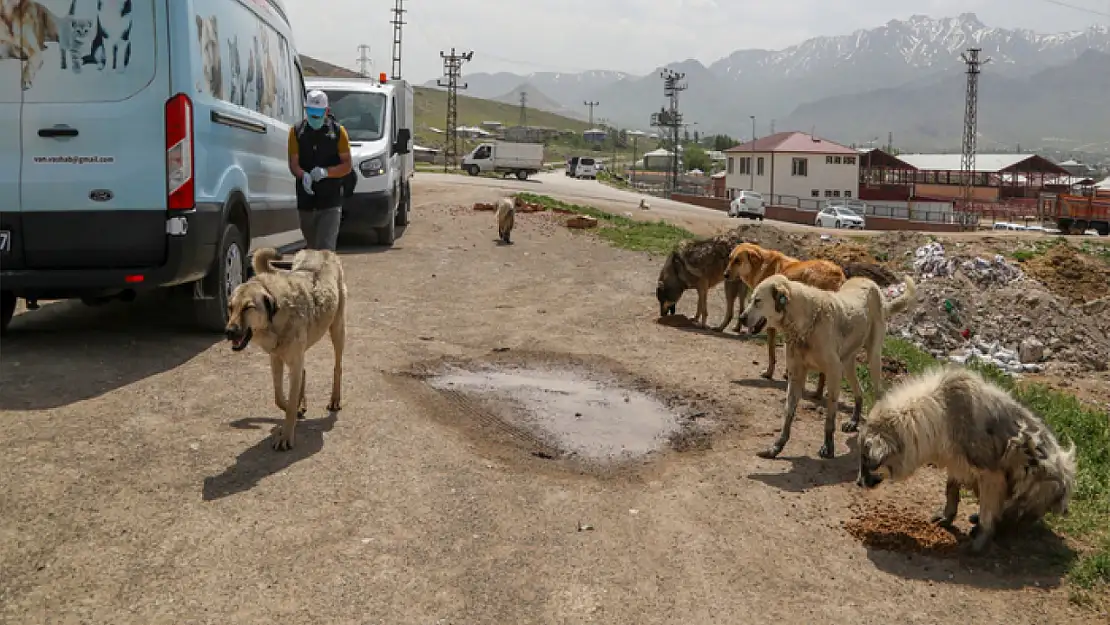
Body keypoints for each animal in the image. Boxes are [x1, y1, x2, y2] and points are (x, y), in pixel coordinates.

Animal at [223, 248, 344, 450]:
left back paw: (335, 399)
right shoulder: (276, 359)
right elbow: (279, 397)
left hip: (338, 330)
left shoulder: (293, 362)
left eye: (248, 307)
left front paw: (287, 434)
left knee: (338, 367)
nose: (229, 332)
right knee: (304, 371)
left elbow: (291, 400)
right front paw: (295, 409)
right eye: (230, 308)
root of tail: (322, 250)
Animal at [741, 274, 914, 459]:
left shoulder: (833, 373)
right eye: (751, 299)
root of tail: (870, 282)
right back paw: (853, 422)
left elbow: (830, 417)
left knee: (878, 392)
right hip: (847, 363)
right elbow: (788, 413)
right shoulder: (796, 376)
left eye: (758, 301)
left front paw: (828, 447)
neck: (805, 323)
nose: (741, 318)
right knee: (859, 390)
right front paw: (776, 446)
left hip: (872, 358)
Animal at [856, 366, 1074, 552]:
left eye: (867, 459)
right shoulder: (956, 464)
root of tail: (1066, 484)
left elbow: (987, 513)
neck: (939, 412)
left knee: (1016, 515)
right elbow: (951, 491)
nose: (858, 484)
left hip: (1032, 480)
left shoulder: (991, 476)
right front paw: (947, 517)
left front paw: (979, 542)